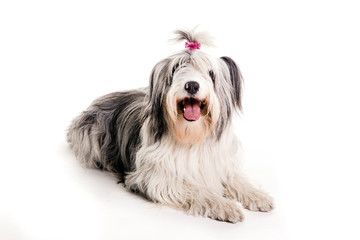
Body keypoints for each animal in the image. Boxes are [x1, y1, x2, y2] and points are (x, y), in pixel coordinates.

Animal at [67, 28, 274, 223]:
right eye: (176, 69)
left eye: (210, 73)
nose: (192, 85)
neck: (192, 136)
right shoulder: (156, 178)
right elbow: (197, 189)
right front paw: (225, 205)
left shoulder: (222, 163)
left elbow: (237, 179)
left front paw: (257, 196)